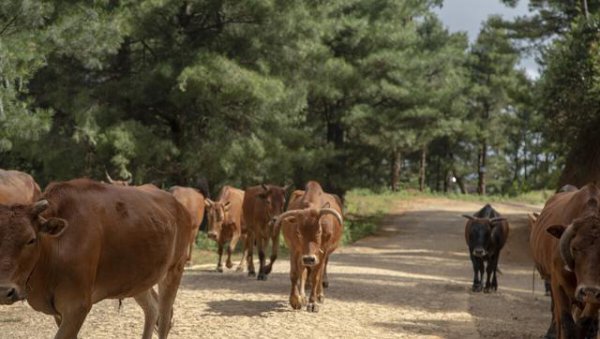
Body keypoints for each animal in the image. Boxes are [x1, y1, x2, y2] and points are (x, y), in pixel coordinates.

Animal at [276, 181, 344, 314]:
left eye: (319, 231)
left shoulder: (322, 252)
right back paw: (303, 295)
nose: (309, 258)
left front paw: (312, 302)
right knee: (304, 270)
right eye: (298, 232)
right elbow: (295, 273)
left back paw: (320, 295)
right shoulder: (294, 250)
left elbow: (316, 276)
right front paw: (295, 300)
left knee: (321, 271)